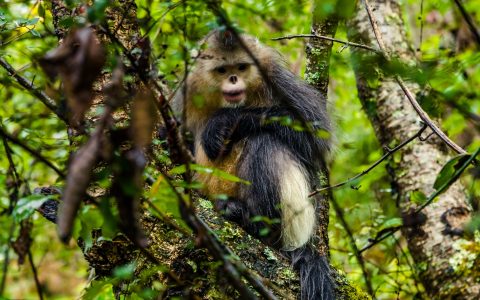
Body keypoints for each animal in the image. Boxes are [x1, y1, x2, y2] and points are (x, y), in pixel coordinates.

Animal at [172, 28, 334, 300]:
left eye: (241, 67)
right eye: (222, 70)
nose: (234, 79)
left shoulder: (275, 76)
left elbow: (317, 135)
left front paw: (223, 121)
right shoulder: (187, 88)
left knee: (264, 140)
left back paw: (253, 222)